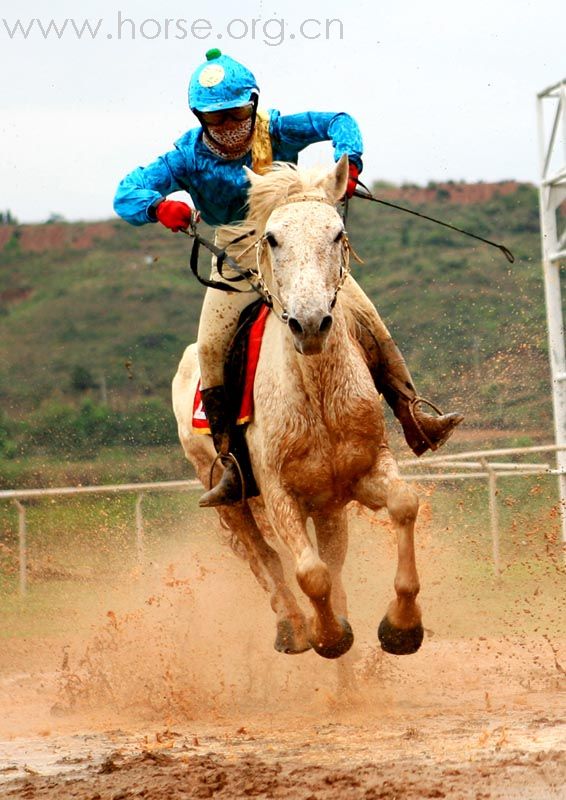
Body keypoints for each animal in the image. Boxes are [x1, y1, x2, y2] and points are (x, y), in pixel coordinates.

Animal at [173, 156, 426, 664]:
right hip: (230, 501)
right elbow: (310, 573)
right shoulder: (279, 495)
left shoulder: (363, 473)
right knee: (265, 560)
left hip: (327, 509)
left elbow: (404, 504)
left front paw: (402, 626)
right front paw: (328, 636)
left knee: (327, 558)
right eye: (272, 238)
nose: (309, 324)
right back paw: (292, 628)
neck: (317, 396)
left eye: (336, 233)